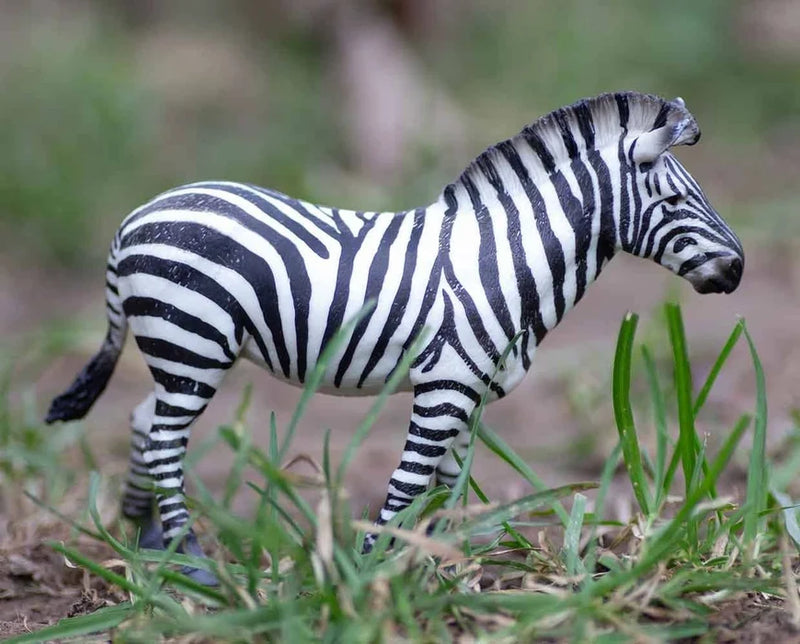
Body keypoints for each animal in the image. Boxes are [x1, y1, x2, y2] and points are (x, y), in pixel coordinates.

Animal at [46, 91, 744, 584]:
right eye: (677, 202)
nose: (736, 270)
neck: (502, 260)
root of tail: (134, 218)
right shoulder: (446, 387)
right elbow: (409, 482)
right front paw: (369, 571)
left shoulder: (471, 393)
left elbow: (452, 487)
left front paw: (456, 572)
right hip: (193, 340)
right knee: (166, 441)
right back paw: (190, 560)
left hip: (179, 352)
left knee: (145, 420)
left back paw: (147, 541)